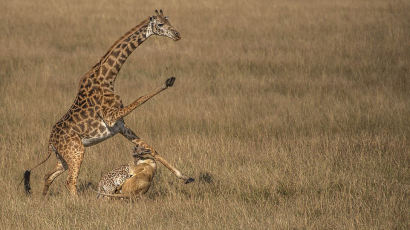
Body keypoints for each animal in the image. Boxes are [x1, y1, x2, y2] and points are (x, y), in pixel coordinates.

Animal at [22, 9, 194, 196]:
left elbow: (152, 148)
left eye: (169, 21)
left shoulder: (120, 126)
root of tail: (50, 142)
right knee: (70, 181)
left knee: (48, 175)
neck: (108, 77)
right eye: (160, 24)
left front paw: (185, 177)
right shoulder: (112, 118)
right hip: (76, 151)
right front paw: (167, 82)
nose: (177, 34)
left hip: (64, 157)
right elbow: (140, 98)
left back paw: (43, 198)